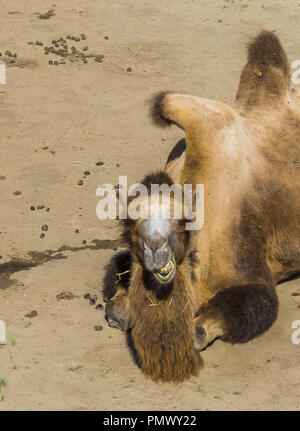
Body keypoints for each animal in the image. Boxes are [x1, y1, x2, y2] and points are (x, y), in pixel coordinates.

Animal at [102, 29, 298, 382]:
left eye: (173, 229)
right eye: (135, 235)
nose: (113, 315)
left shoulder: (248, 265)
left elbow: (257, 304)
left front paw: (198, 330)